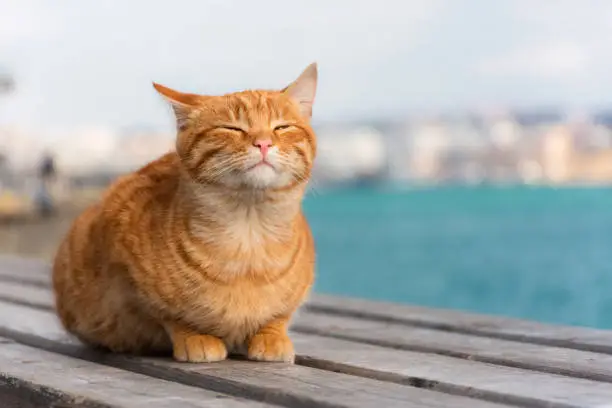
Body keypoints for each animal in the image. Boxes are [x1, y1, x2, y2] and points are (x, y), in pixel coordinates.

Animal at [52, 62, 318, 362]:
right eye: (232, 128)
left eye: (282, 127)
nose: (263, 143)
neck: (249, 234)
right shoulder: (126, 267)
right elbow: (169, 316)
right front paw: (195, 336)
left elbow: (279, 315)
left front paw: (272, 336)